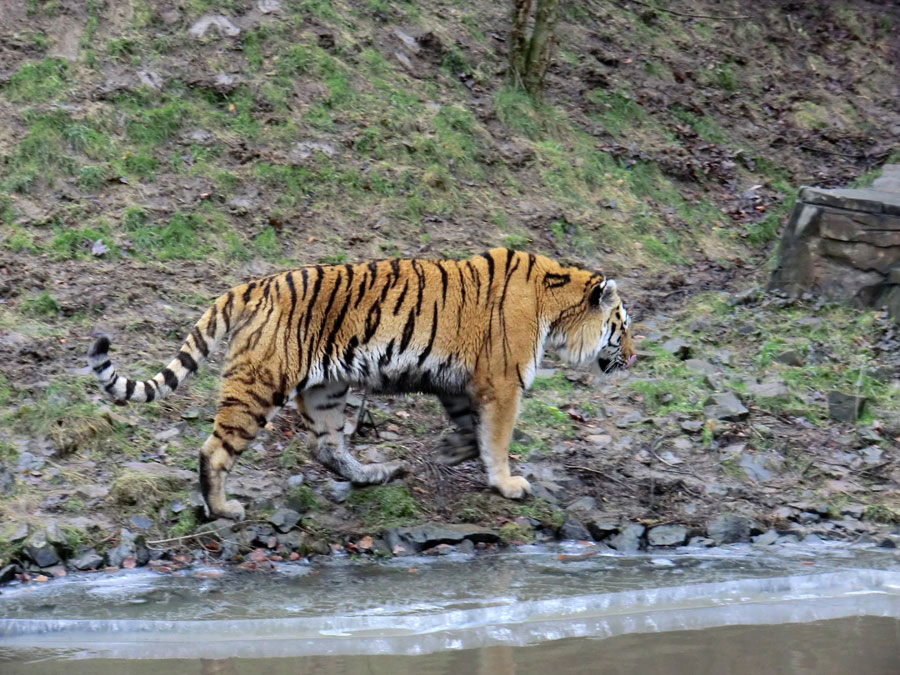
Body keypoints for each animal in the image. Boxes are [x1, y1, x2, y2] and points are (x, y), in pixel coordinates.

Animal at [89, 250, 632, 524]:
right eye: (622, 326)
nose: (632, 356)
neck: (555, 306)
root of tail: (254, 284)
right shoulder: (502, 383)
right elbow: (497, 439)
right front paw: (507, 484)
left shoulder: (461, 381)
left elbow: (467, 427)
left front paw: (450, 450)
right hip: (260, 386)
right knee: (214, 450)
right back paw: (223, 508)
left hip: (327, 390)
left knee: (328, 449)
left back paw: (377, 474)